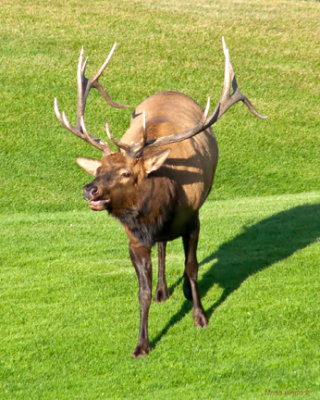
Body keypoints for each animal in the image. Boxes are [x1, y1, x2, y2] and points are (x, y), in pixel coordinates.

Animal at [53, 37, 266, 356]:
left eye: (126, 173)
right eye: (100, 168)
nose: (89, 189)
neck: (160, 206)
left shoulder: (193, 220)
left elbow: (192, 268)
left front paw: (200, 316)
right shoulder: (135, 239)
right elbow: (141, 291)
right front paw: (142, 343)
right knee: (164, 246)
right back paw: (163, 291)